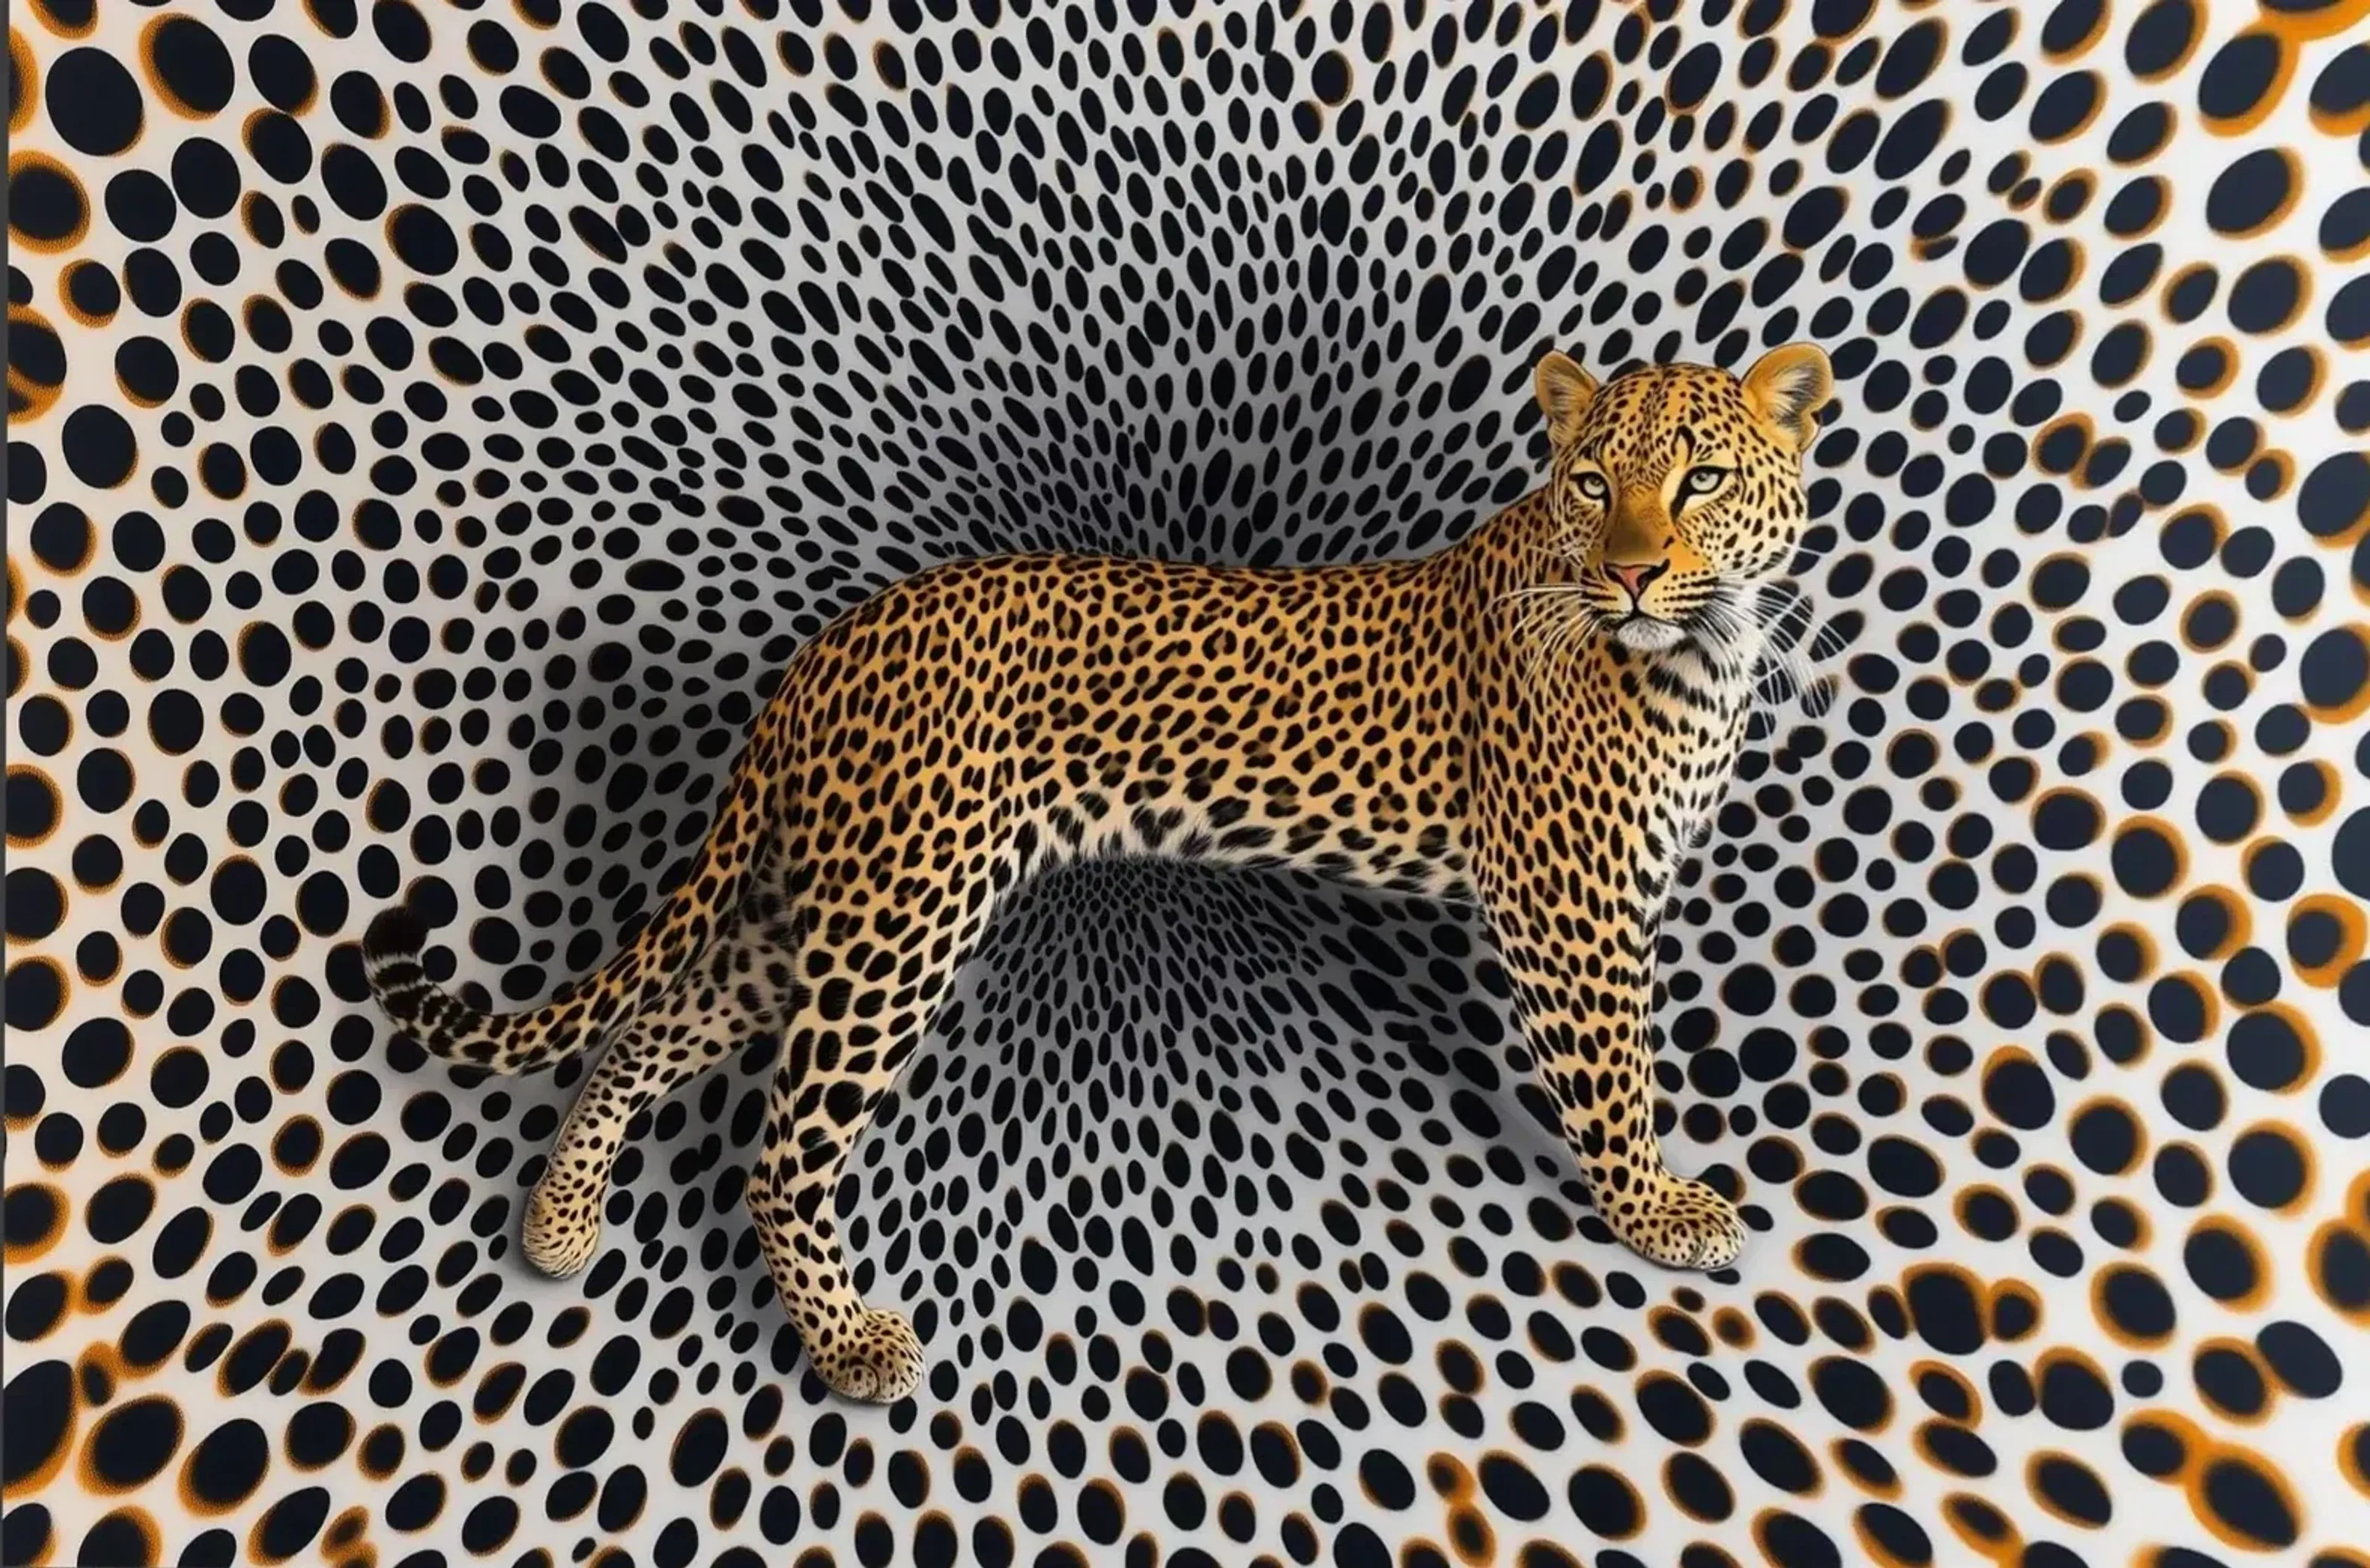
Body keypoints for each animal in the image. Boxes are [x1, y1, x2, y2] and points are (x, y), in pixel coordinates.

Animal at [362, 341, 1836, 1403]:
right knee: (779, 1147)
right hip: (900, 913)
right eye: (1593, 486)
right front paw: (1655, 1208)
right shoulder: (1569, 898)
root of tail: (835, 642)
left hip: (814, 904)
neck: (1700, 658)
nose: (1633, 574)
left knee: (651, 1027)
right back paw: (847, 1345)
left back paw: (558, 1228)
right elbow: (1614, 1075)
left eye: (1702, 480)